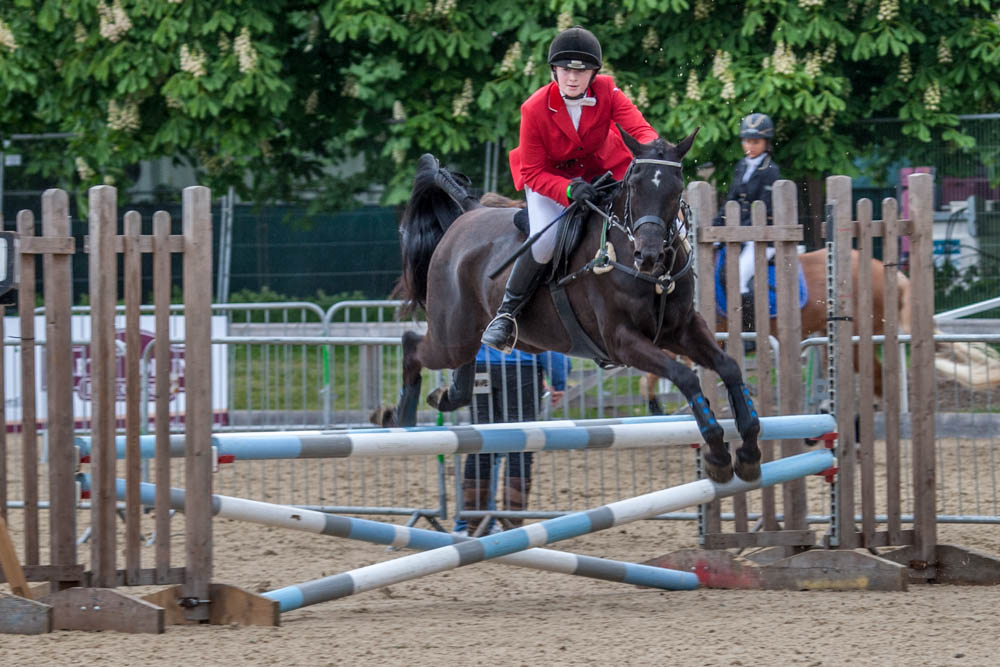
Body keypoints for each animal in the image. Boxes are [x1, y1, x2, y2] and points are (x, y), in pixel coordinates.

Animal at [376, 128, 764, 486]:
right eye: (634, 186)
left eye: (676, 188)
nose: (648, 256)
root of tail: (468, 214)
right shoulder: (622, 341)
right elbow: (685, 376)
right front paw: (717, 454)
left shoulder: (681, 329)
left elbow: (729, 367)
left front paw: (748, 451)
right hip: (450, 334)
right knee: (412, 345)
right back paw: (398, 416)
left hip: (472, 335)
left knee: (457, 364)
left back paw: (446, 395)